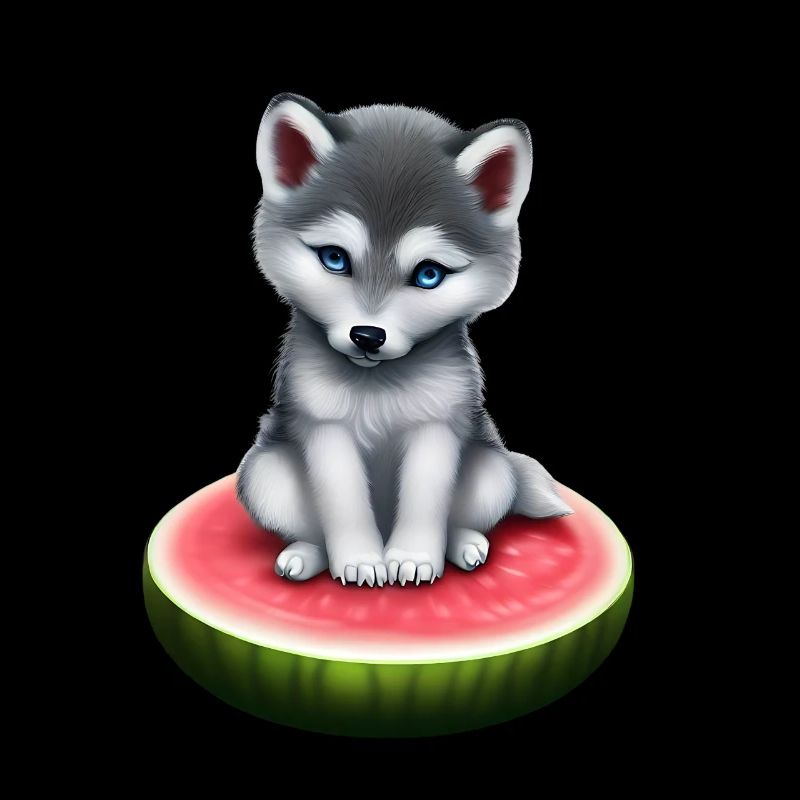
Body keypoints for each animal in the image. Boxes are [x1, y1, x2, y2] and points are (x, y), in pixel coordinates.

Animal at [237, 94, 573, 588]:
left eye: (429, 274)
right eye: (334, 258)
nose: (367, 336)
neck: (377, 385)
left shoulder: (436, 426)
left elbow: (425, 498)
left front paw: (412, 556)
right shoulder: (324, 427)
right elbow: (343, 502)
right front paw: (360, 559)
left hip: (493, 469)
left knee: (464, 515)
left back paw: (465, 545)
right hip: (265, 474)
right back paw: (306, 555)